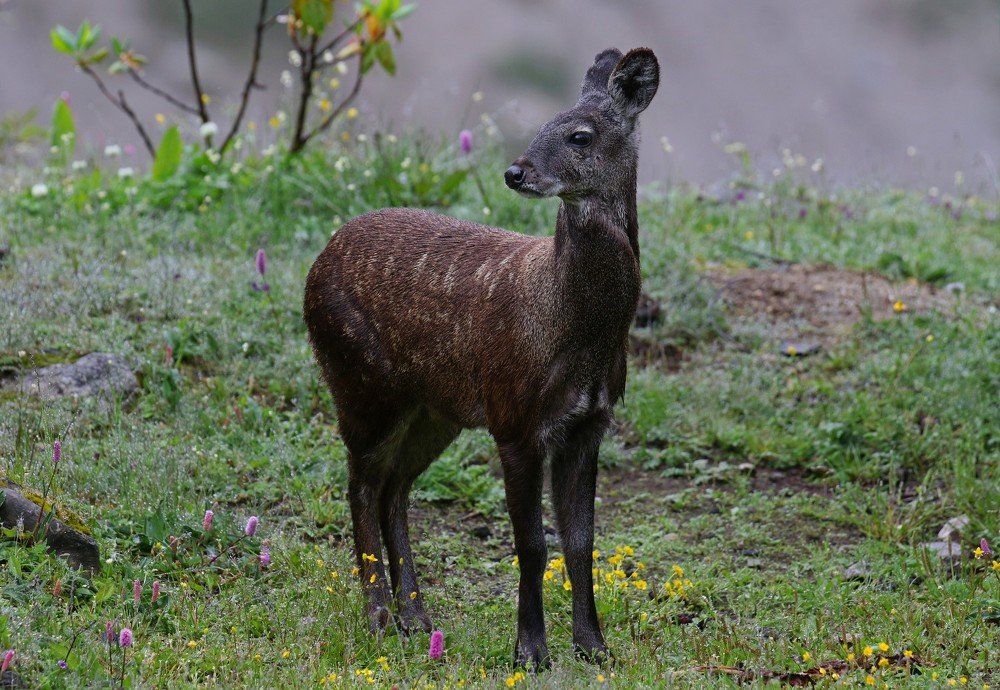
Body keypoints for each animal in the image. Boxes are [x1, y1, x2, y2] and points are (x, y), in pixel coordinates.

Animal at [303, 47, 659, 669]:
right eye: (540, 125)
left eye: (580, 134)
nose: (516, 172)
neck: (567, 324)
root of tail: (317, 262)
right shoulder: (514, 417)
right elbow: (532, 544)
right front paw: (530, 652)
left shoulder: (589, 422)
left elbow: (581, 540)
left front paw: (593, 647)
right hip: (359, 383)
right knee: (361, 485)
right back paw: (378, 617)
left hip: (434, 411)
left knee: (394, 489)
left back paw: (416, 617)